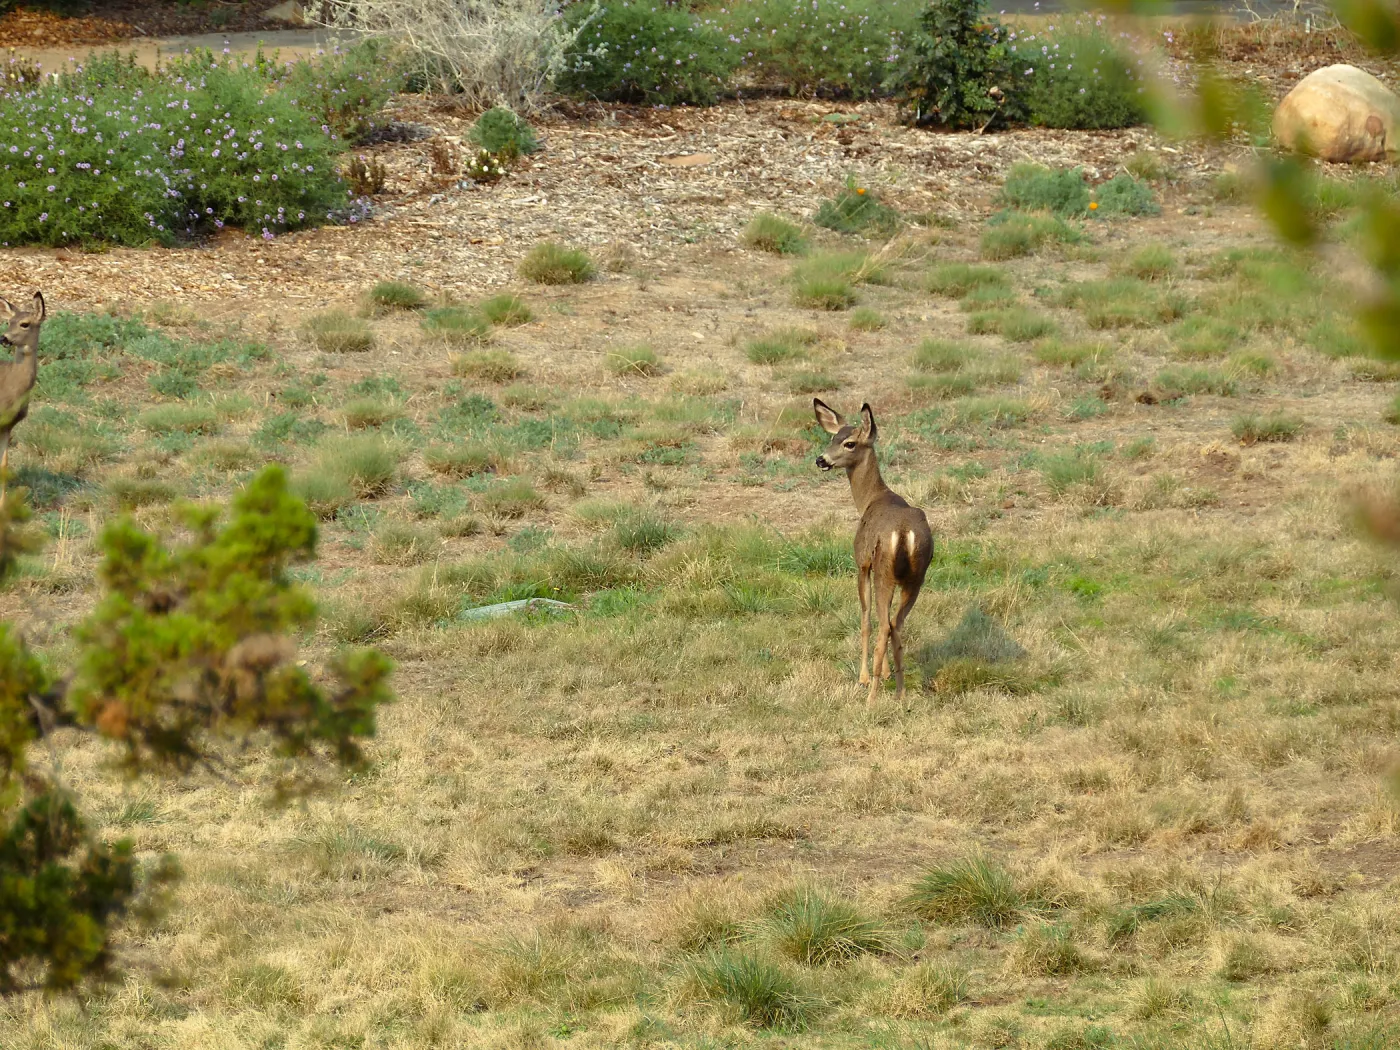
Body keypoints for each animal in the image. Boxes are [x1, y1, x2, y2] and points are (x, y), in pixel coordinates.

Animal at [813, 398, 933, 704]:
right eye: (832, 438)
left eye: (850, 443)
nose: (821, 460)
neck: (870, 499)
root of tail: (904, 534)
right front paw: (889, 674)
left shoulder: (862, 563)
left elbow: (865, 619)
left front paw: (864, 677)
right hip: (917, 577)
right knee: (895, 626)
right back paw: (901, 694)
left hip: (884, 571)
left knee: (882, 627)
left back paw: (872, 697)